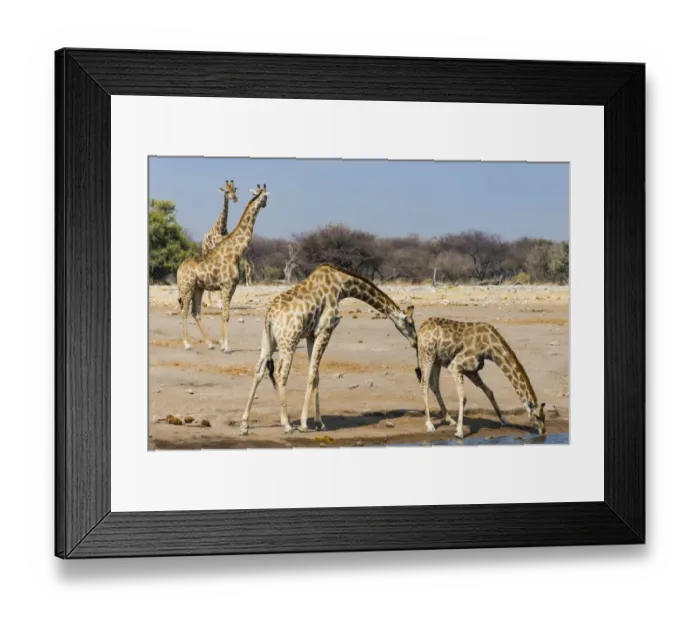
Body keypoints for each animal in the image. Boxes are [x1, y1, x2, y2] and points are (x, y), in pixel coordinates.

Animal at [176, 184, 269, 353]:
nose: (264, 204)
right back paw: (187, 344)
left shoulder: (232, 287)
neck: (235, 253)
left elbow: (225, 314)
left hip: (197, 288)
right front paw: (226, 346)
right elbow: (226, 315)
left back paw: (209, 343)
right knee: (184, 311)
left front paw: (221, 343)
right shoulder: (226, 286)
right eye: (264, 196)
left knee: (195, 312)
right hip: (186, 287)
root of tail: (178, 270)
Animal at [239, 264, 417, 435]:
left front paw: (319, 423)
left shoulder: (311, 335)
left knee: (259, 371)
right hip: (289, 340)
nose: (416, 341)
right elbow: (312, 373)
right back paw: (287, 425)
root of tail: (269, 315)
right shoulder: (325, 329)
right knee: (281, 373)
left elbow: (316, 374)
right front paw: (304, 424)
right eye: (410, 323)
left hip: (269, 341)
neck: (342, 286)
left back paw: (244, 425)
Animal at [414, 318, 547, 439]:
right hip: (427, 354)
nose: (544, 432)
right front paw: (459, 432)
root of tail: (421, 329)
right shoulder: (456, 365)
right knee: (424, 384)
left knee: (434, 384)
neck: (490, 348)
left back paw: (450, 420)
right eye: (537, 416)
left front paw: (504, 419)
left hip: (437, 359)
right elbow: (463, 398)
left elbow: (489, 391)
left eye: (544, 416)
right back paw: (430, 425)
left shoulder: (471, 370)